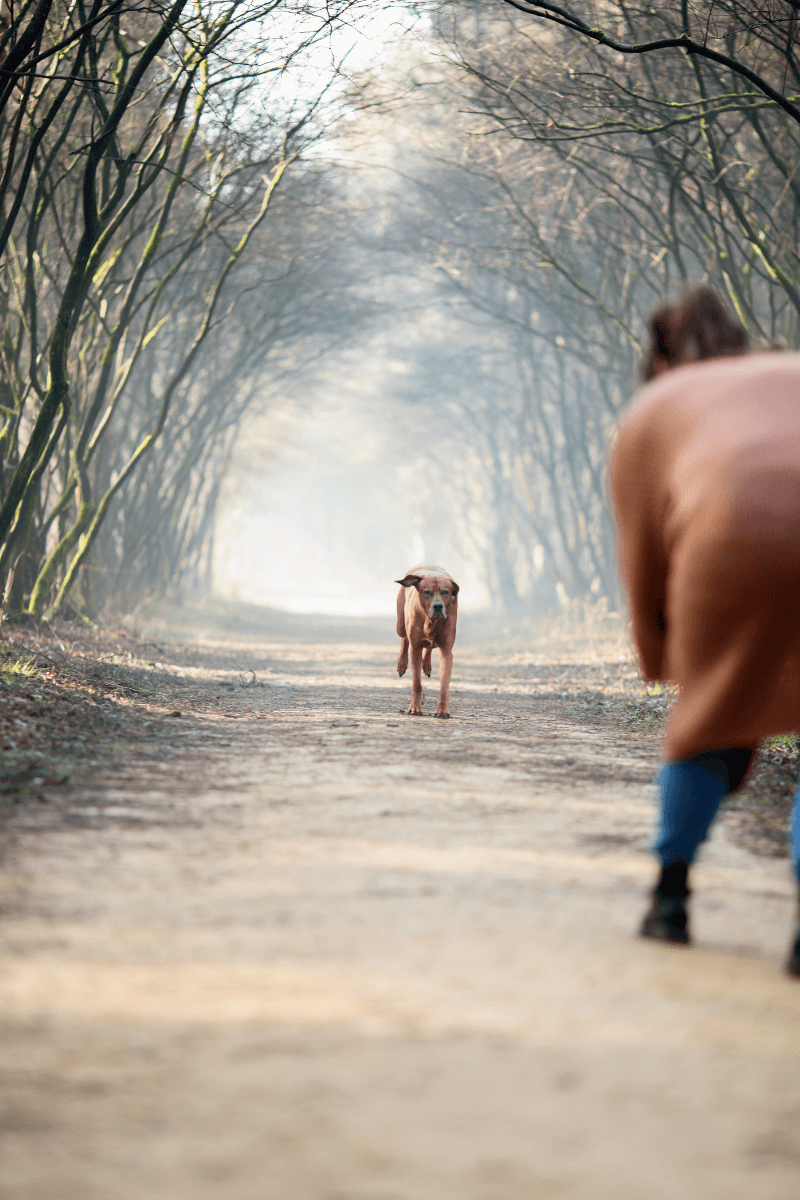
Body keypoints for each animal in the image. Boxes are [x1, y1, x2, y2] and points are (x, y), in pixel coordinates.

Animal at [395, 559, 460, 715]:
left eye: (445, 592)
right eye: (427, 592)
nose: (438, 606)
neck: (431, 622)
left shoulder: (447, 651)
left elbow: (444, 685)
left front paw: (442, 710)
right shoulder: (415, 648)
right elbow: (417, 683)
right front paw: (415, 707)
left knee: (430, 645)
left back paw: (426, 664)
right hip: (400, 625)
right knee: (404, 638)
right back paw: (402, 663)